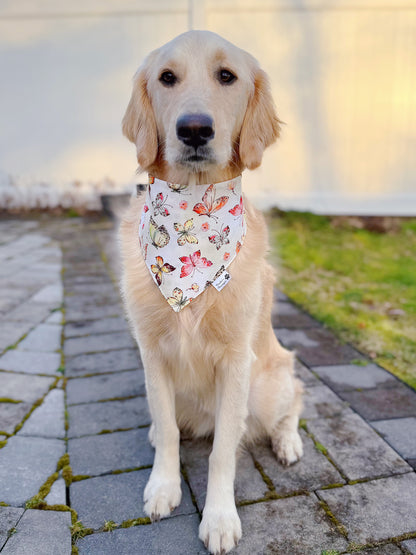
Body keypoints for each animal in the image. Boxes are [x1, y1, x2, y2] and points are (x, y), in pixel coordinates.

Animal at [119, 30, 302, 555]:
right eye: (167, 78)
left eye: (227, 76)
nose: (195, 129)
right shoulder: (152, 353)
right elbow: (167, 428)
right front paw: (163, 487)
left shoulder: (236, 359)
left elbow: (224, 450)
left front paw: (220, 518)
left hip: (269, 383)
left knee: (294, 402)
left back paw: (289, 442)